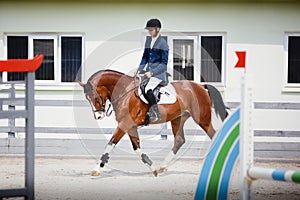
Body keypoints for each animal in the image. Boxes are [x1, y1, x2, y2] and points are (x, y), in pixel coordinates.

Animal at [78, 69, 227, 176]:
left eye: (95, 98)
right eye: (87, 99)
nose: (99, 116)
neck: (124, 92)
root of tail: (201, 86)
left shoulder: (125, 124)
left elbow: (110, 144)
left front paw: (96, 169)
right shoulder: (130, 126)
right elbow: (137, 149)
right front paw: (153, 168)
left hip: (202, 119)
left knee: (213, 135)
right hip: (178, 119)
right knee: (179, 140)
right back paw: (162, 167)